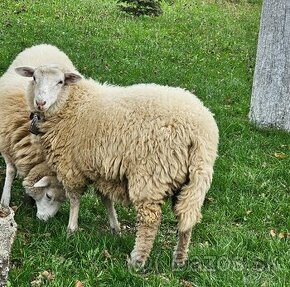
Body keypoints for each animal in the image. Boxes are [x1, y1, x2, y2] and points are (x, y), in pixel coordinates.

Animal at [0, 44, 120, 230]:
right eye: (49, 196)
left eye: (60, 82)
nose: (44, 220)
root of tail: (45, 44)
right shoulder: (6, 143)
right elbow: (11, 170)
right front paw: (5, 201)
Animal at [17, 47, 219, 270]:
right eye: (34, 78)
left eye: (60, 82)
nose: (40, 103)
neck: (72, 103)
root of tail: (200, 132)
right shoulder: (102, 168)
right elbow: (106, 199)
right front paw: (115, 228)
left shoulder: (71, 166)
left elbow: (75, 199)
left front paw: (71, 229)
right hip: (191, 179)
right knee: (186, 217)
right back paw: (179, 260)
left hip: (152, 175)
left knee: (150, 220)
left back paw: (137, 261)